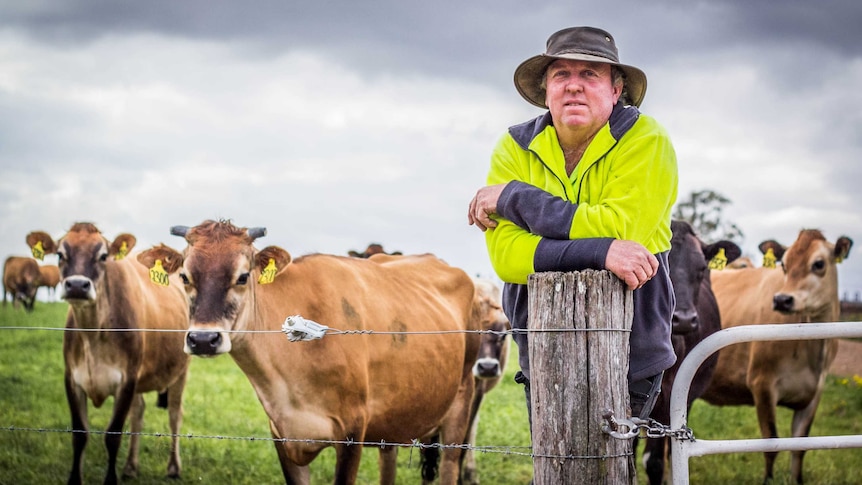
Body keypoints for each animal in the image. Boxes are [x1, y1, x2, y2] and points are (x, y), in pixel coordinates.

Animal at [26, 223, 190, 484]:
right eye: (60, 255)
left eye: (103, 256)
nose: (77, 286)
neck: (93, 334)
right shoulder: (72, 379)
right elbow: (79, 434)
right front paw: (75, 479)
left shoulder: (126, 380)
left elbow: (113, 435)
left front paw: (110, 479)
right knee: (138, 412)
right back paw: (131, 466)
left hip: (181, 369)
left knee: (175, 414)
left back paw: (173, 467)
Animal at [138, 220, 482, 484]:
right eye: (185, 277)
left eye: (242, 276)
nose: (203, 339)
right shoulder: (283, 435)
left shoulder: (352, 432)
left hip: (461, 397)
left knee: (450, 463)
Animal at [704, 229, 852, 482]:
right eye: (784, 264)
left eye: (819, 263)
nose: (782, 299)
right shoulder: (762, 384)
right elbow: (771, 442)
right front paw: (768, 480)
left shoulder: (815, 393)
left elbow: (800, 446)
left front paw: (797, 480)